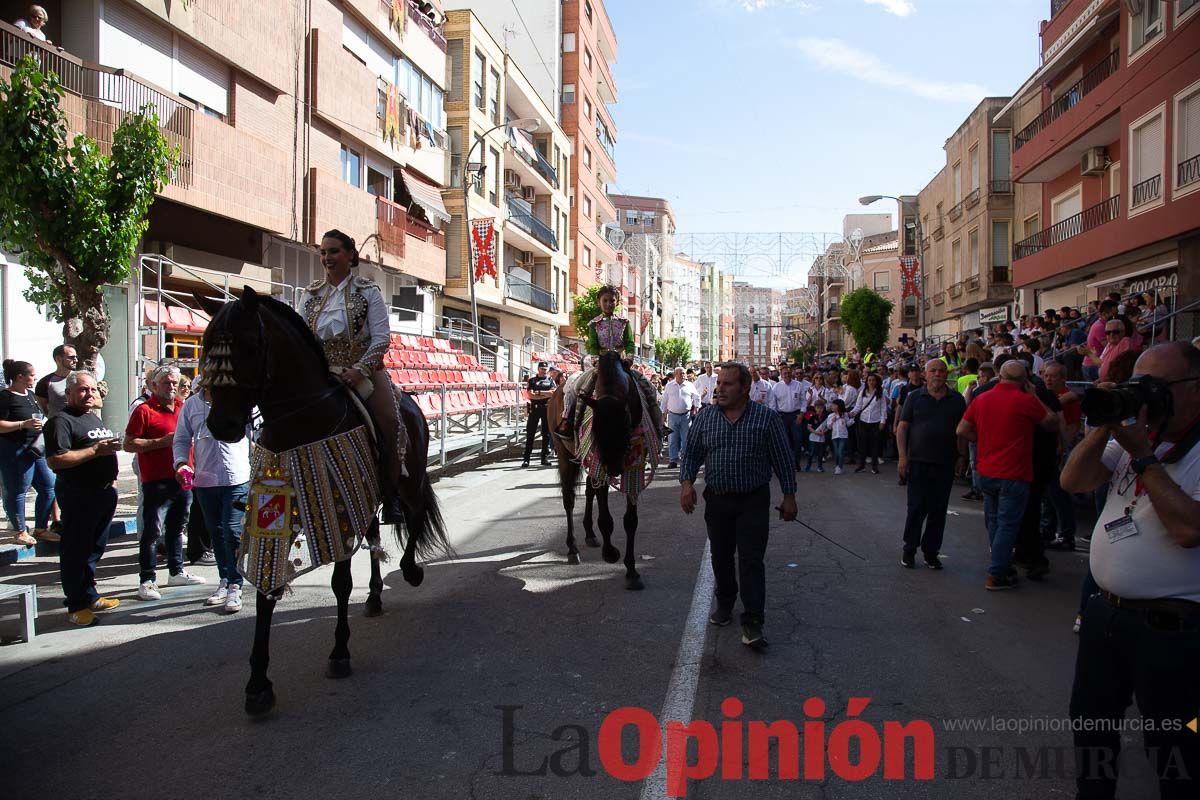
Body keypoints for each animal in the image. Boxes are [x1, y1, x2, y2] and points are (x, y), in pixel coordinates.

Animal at [201, 286, 451, 714]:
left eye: (249, 344)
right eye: (206, 345)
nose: (222, 425)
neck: (300, 421)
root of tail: (411, 401)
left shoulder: (337, 505)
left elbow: (340, 582)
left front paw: (339, 653)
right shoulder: (276, 515)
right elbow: (266, 593)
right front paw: (258, 684)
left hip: (409, 479)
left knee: (415, 517)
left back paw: (412, 572)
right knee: (375, 536)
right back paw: (375, 596)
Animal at [549, 352, 648, 592]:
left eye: (625, 426)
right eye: (595, 430)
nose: (613, 468)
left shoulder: (634, 467)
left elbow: (630, 521)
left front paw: (632, 572)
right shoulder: (599, 465)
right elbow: (605, 517)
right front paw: (610, 552)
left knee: (589, 492)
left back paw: (590, 534)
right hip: (565, 455)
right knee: (569, 499)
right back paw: (572, 548)